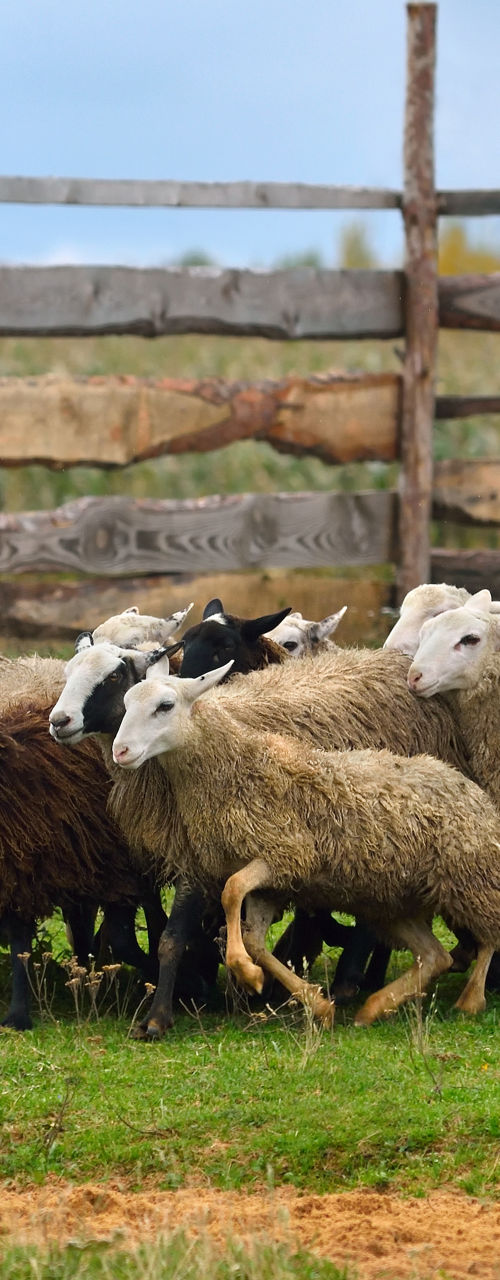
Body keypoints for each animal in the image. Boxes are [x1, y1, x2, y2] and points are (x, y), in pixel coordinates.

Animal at [0, 653, 162, 1030]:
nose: (59, 722)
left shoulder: (118, 867)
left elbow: (123, 938)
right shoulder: (20, 864)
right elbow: (19, 941)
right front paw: (18, 1013)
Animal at [94, 643, 474, 1037]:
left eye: (165, 706)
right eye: (127, 701)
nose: (121, 751)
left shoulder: (281, 854)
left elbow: (230, 893)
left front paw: (246, 972)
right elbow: (233, 922)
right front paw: (300, 995)